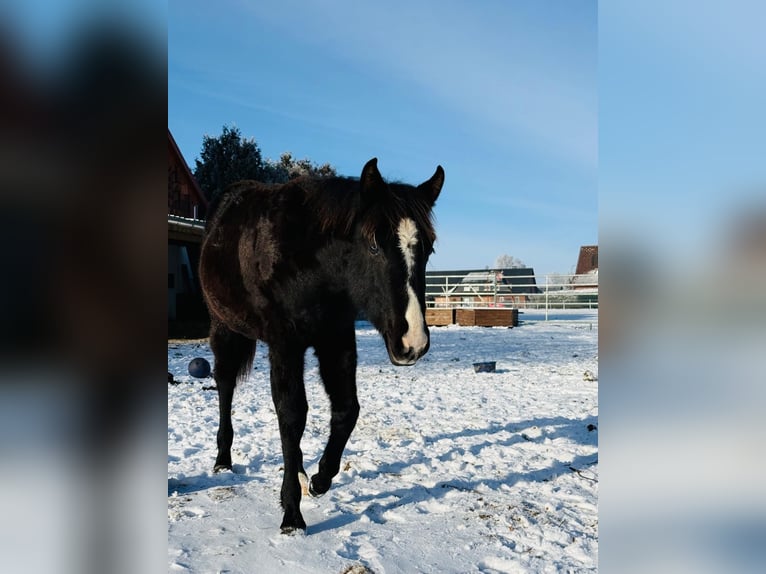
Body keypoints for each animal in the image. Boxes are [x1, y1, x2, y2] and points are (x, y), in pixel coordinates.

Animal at [199, 158, 444, 533]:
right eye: (374, 244)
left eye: (428, 248)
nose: (412, 342)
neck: (311, 265)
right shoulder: (285, 344)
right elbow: (291, 415)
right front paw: (291, 513)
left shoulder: (336, 338)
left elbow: (346, 411)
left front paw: (318, 479)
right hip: (224, 327)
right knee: (225, 387)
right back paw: (223, 459)